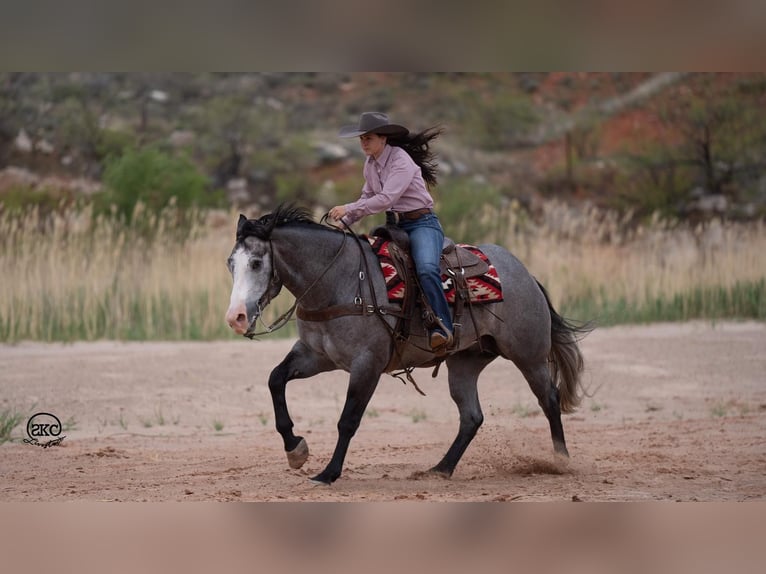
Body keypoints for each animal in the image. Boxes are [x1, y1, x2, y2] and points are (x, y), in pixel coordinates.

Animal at [225, 206, 592, 486]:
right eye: (231, 263)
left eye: (256, 262)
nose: (236, 317)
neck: (339, 280)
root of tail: (526, 274)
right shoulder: (315, 355)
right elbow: (275, 380)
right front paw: (295, 450)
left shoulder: (367, 364)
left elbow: (348, 420)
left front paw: (328, 473)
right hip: (465, 362)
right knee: (471, 417)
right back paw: (441, 469)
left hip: (529, 356)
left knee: (549, 399)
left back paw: (560, 461)